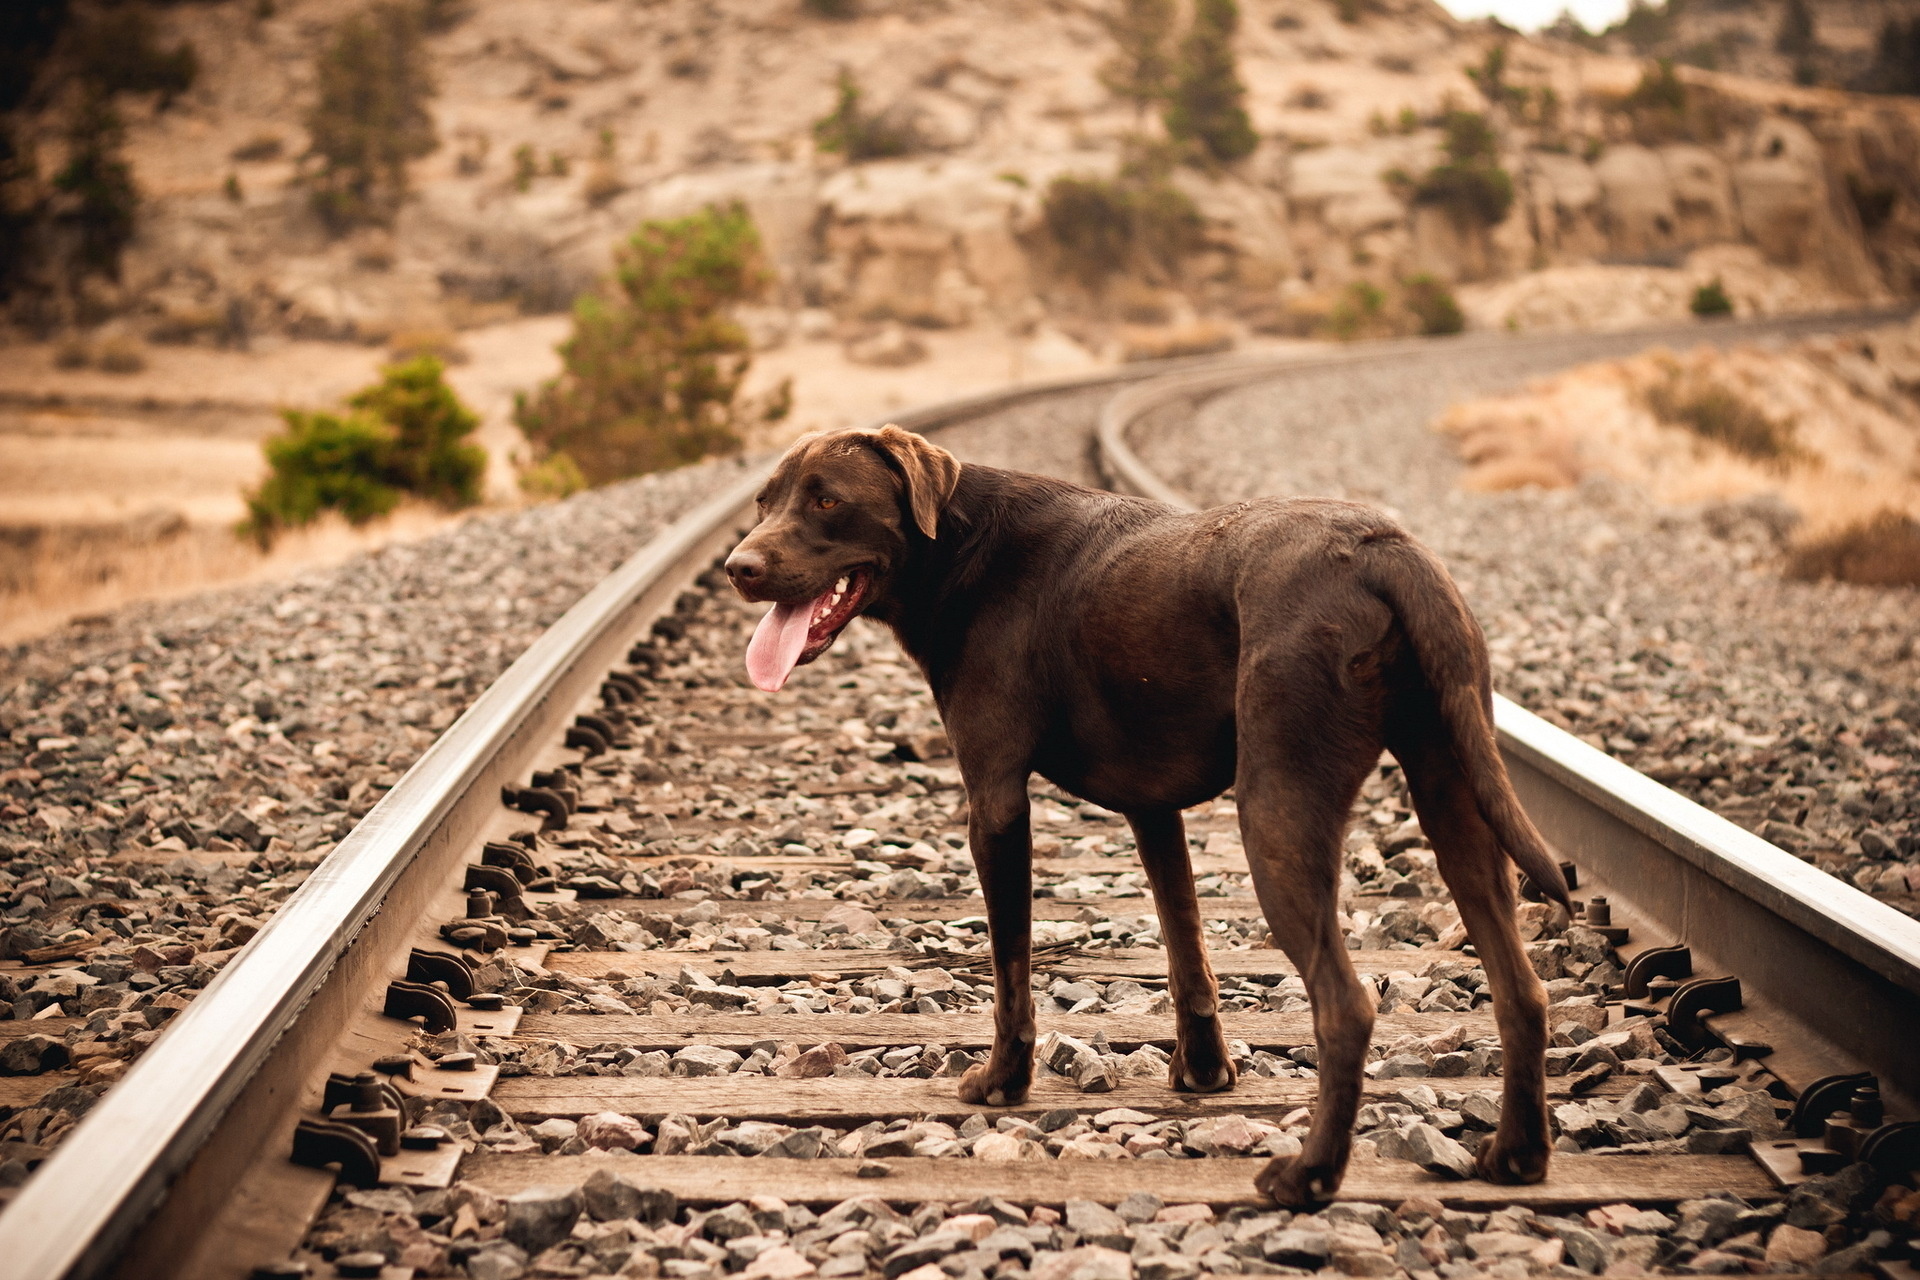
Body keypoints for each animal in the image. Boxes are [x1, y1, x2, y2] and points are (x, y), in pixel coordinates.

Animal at [725, 426, 1566, 1205]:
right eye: (763, 502)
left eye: (827, 500)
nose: (739, 566)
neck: (963, 545)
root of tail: (1382, 552)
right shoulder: (1153, 808)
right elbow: (1183, 942)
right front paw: (1203, 1071)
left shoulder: (994, 798)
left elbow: (1010, 964)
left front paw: (1002, 1081)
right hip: (1454, 792)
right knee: (1522, 990)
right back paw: (1515, 1156)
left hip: (1279, 810)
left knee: (1347, 1006)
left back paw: (1310, 1175)